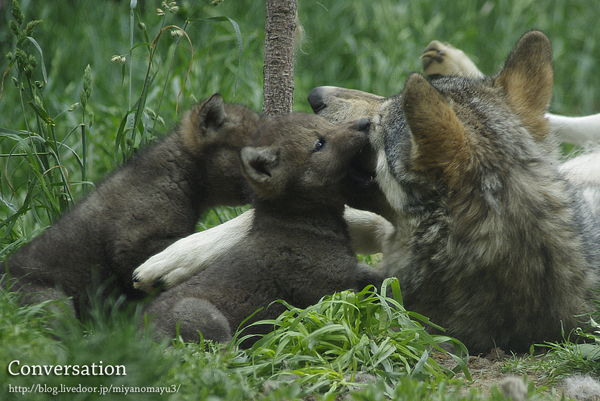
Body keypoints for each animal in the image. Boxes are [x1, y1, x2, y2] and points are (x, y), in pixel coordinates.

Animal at [143, 112, 382, 344]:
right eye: (319, 144)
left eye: (328, 124)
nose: (365, 122)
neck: (301, 224)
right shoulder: (331, 295)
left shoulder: (353, 273)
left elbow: (376, 277)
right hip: (204, 316)